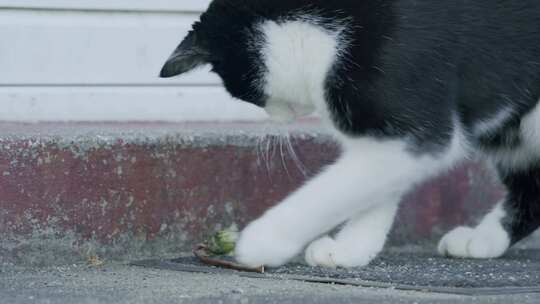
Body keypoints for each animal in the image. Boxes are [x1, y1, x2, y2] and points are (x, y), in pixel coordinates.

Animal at [160, 0, 540, 268]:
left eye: (242, 91)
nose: (274, 117)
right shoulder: (389, 133)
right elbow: (371, 187)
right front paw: (350, 249)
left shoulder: (417, 121)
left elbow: (334, 189)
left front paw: (263, 240)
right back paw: (483, 239)